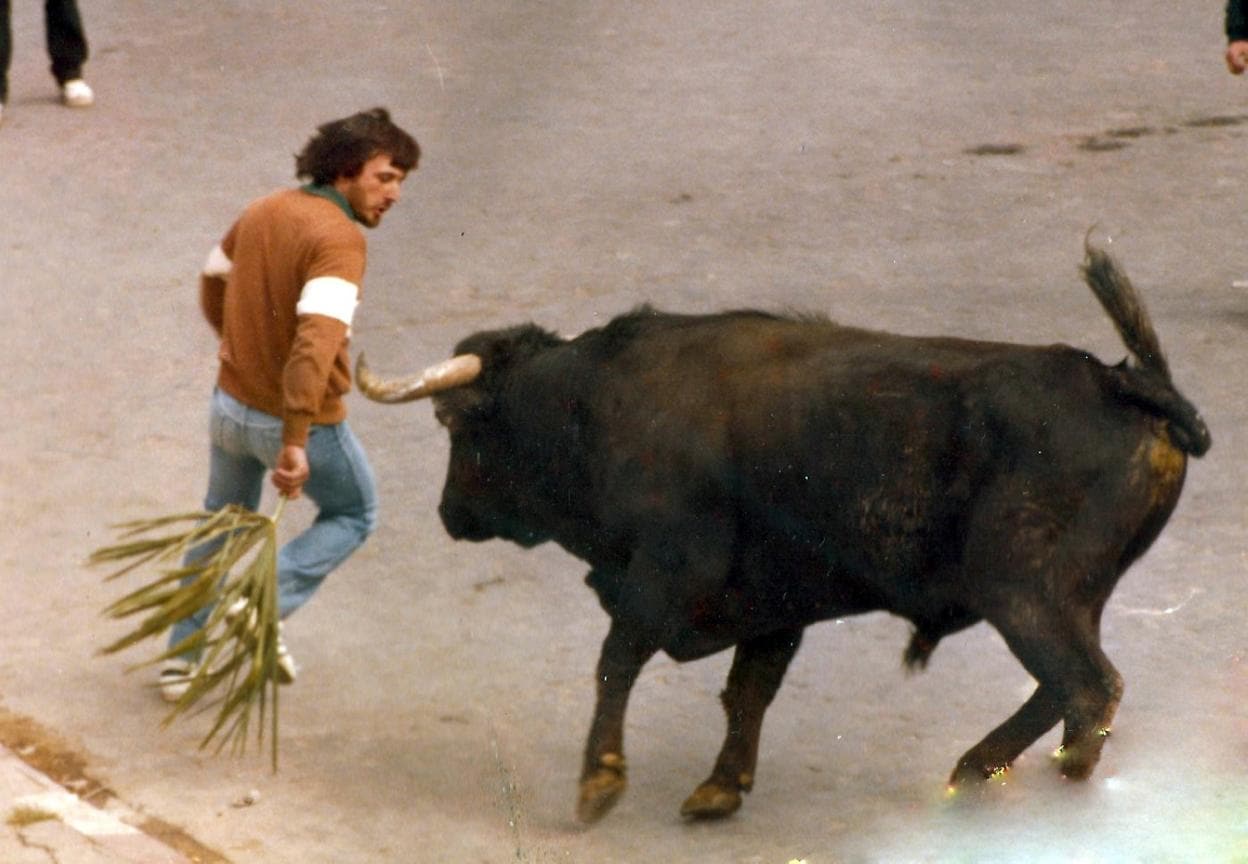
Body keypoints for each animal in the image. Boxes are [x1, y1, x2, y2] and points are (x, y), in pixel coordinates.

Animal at [359, 245, 1208, 829]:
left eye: (456, 430)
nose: (449, 514)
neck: (596, 401)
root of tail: (1122, 380)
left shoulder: (663, 575)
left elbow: (616, 662)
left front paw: (599, 783)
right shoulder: (776, 599)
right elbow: (748, 691)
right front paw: (718, 788)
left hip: (1025, 593)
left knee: (1087, 686)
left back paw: (1035, 781)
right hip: (1066, 599)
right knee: (1064, 688)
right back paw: (979, 770)